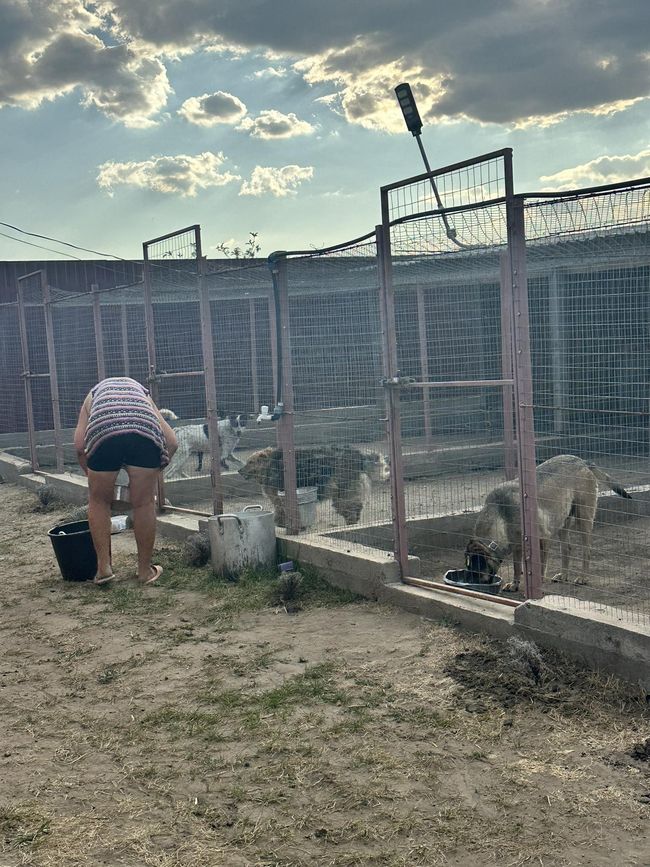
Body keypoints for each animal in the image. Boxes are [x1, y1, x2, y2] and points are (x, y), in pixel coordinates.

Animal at [238, 445, 389, 526]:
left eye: (250, 462)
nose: (239, 471)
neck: (269, 465)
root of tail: (358, 454)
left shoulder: (277, 497)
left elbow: (280, 512)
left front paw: (281, 524)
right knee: (355, 506)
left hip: (344, 491)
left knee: (352, 507)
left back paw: (351, 522)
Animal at [465, 454, 631, 592]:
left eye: (476, 570)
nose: (471, 585)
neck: (500, 512)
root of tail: (581, 461)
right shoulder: (517, 546)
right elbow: (517, 567)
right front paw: (515, 584)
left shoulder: (543, 539)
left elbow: (540, 566)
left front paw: (538, 584)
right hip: (563, 521)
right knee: (567, 548)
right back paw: (564, 575)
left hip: (583, 519)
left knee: (586, 550)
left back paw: (583, 577)